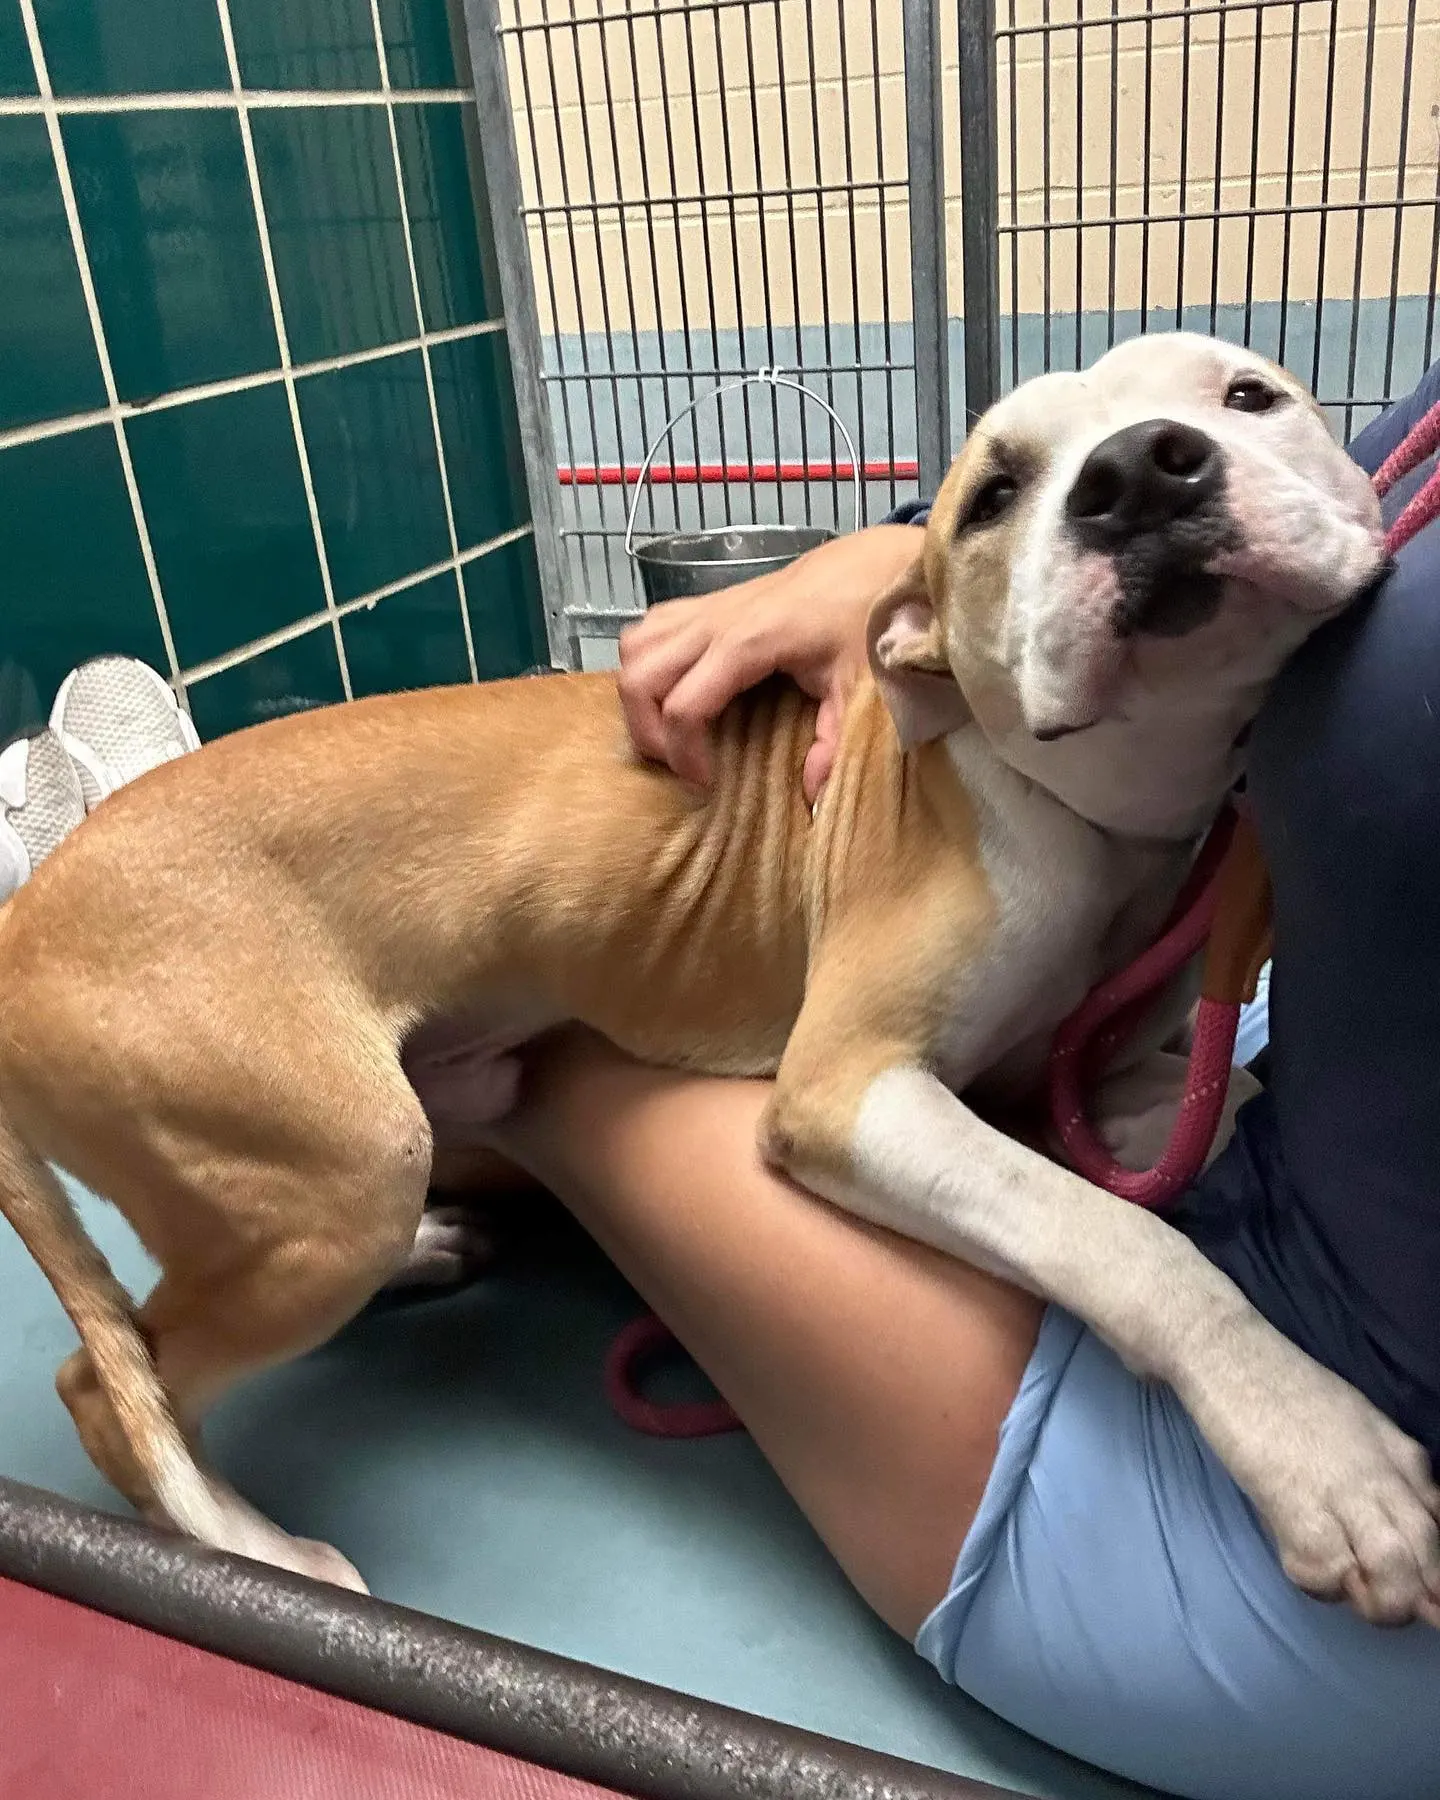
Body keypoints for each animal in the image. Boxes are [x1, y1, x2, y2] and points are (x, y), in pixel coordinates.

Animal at [2, 331, 1440, 1627]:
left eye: (1250, 394)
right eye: (993, 493)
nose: (1140, 471)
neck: (1094, 809)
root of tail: (21, 927)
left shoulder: (1081, 1064)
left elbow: (1182, 1105)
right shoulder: (851, 1094)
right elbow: (1123, 1238)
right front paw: (1319, 1449)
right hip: (341, 1162)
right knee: (114, 1384)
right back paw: (257, 1551)